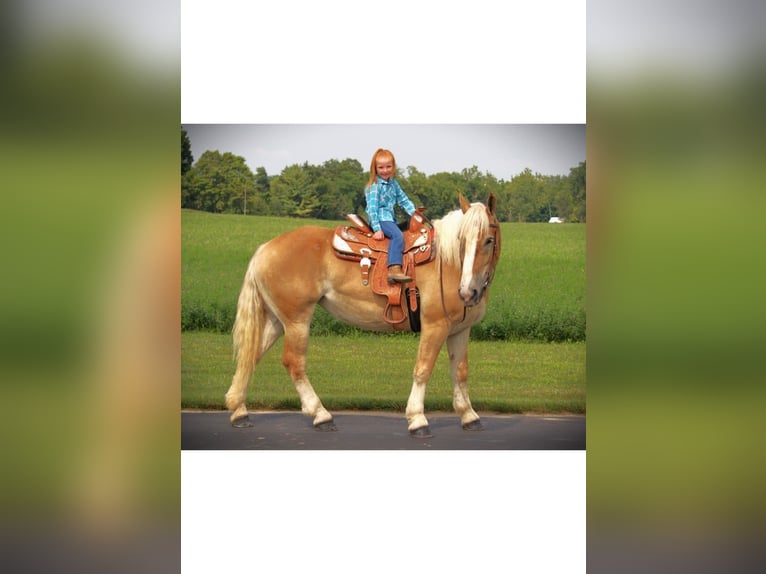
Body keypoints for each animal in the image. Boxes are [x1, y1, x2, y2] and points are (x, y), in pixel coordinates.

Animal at [224, 193, 501, 437]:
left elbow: (460, 371)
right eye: (462, 240)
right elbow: (423, 369)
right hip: (296, 321)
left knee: (252, 356)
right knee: (294, 362)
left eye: (488, 240)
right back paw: (321, 415)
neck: (449, 263)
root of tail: (265, 249)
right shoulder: (435, 326)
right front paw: (417, 419)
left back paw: (239, 411)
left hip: (276, 320)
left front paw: (469, 416)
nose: (468, 291)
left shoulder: (460, 330)